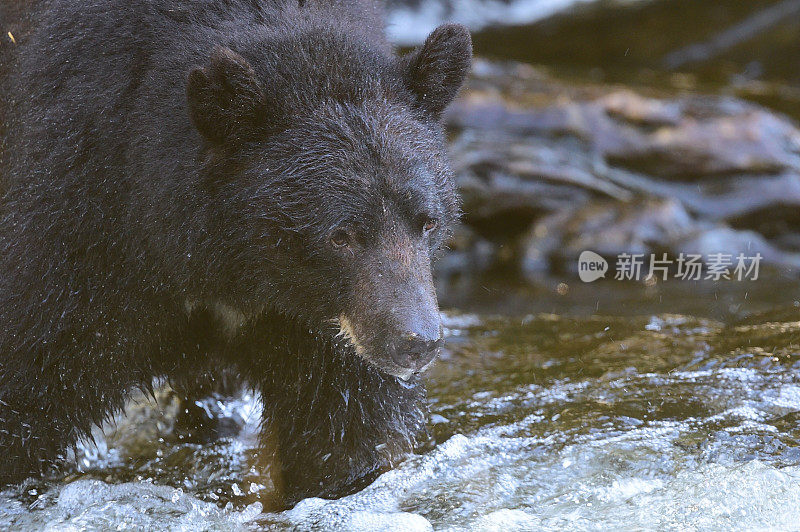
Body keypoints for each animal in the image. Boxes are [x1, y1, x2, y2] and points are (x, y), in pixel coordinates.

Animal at [0, 0, 472, 502]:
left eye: (427, 221)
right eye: (341, 235)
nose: (416, 341)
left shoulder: (319, 326)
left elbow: (343, 424)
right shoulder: (86, 222)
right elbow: (32, 375)